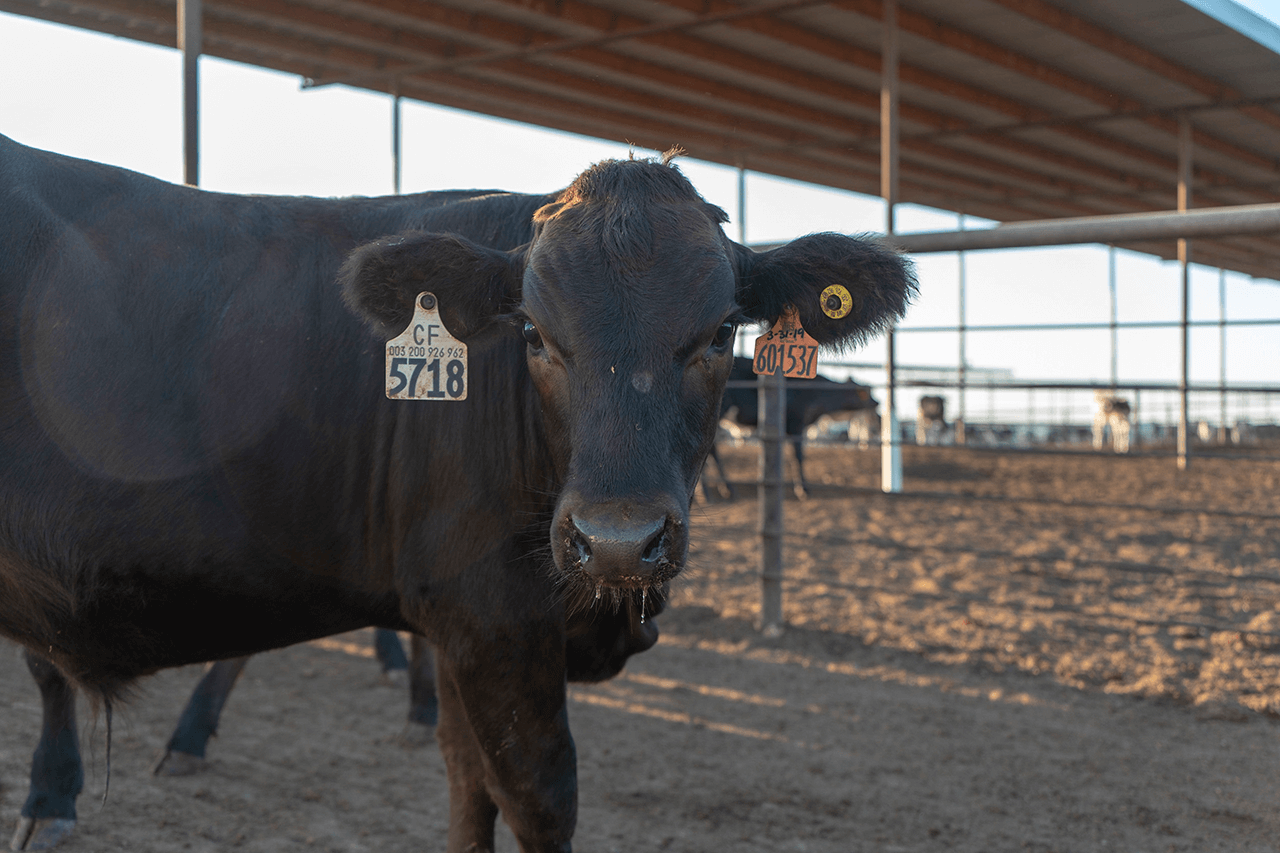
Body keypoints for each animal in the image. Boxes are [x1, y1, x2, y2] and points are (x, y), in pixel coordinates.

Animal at [2, 131, 921, 845]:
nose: (619, 541)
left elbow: (467, 785)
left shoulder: (459, 626)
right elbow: (536, 798)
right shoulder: (493, 615)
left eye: (723, 329)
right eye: (535, 333)